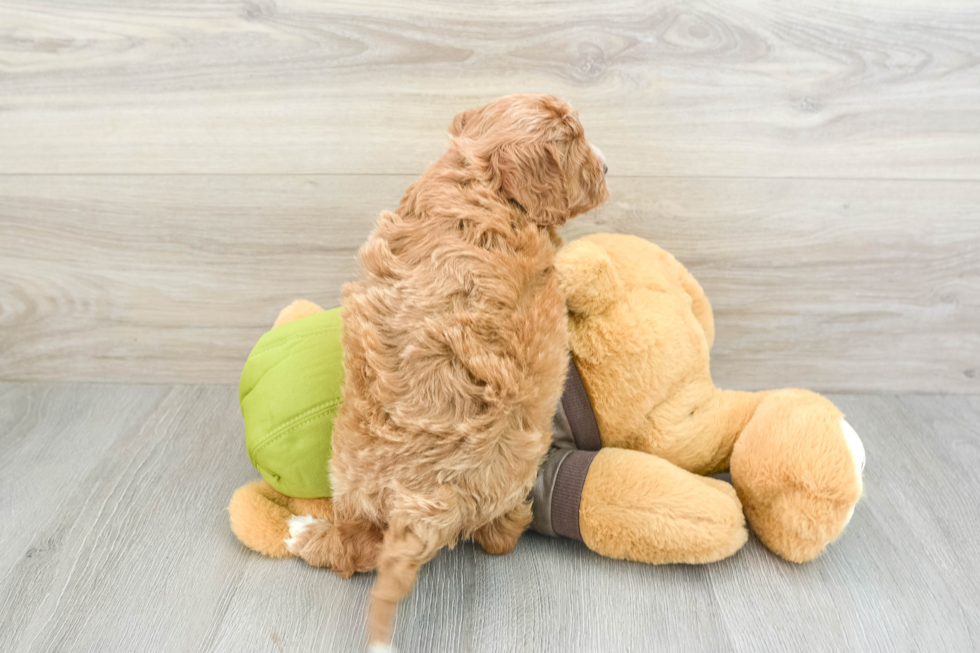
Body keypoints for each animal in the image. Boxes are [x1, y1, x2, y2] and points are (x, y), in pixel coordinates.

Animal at [284, 93, 608, 648]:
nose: (607, 167)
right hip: (515, 474)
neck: (483, 181)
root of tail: (433, 500)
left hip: (345, 467)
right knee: (501, 536)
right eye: (577, 144)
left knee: (356, 548)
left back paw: (303, 533)